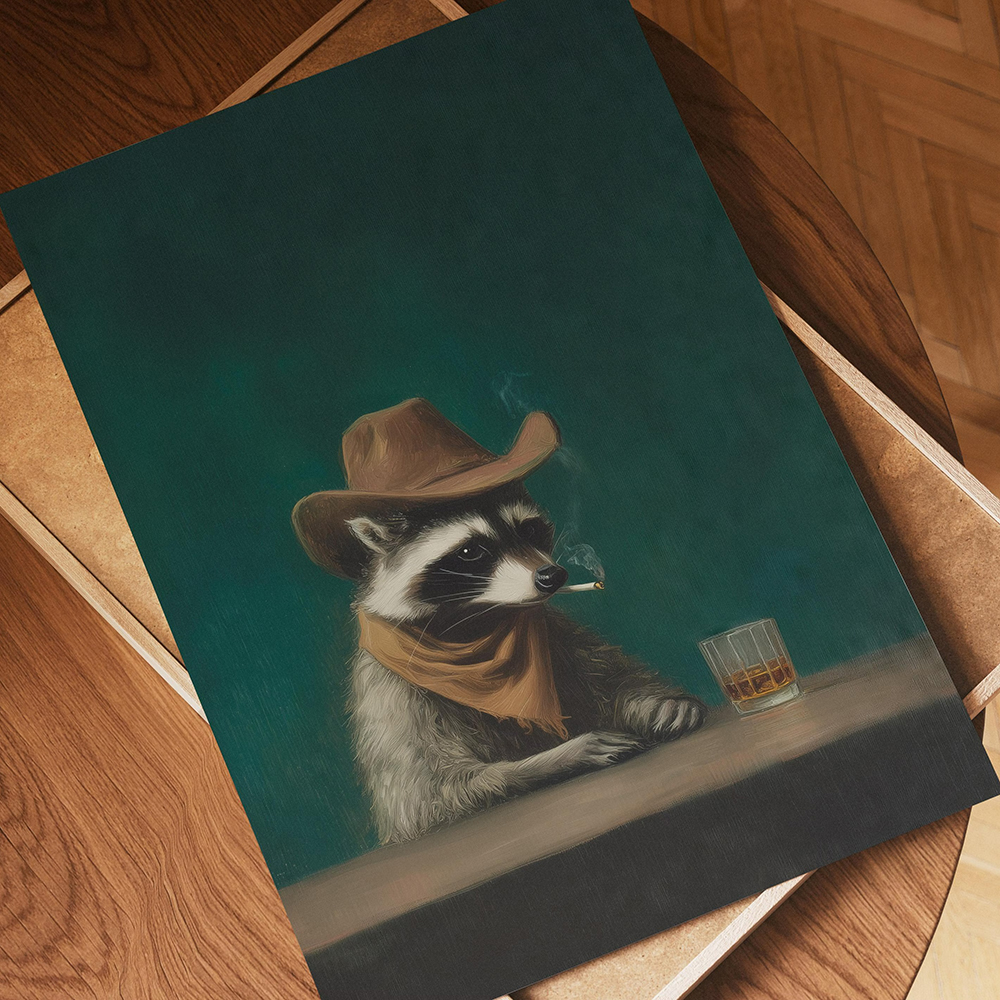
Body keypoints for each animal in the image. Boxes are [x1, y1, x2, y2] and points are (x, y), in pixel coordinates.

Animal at [345, 481, 706, 844]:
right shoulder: (392, 694)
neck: (476, 631)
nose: (553, 576)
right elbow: (432, 798)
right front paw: (563, 756)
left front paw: (658, 702)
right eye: (470, 551)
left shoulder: (558, 634)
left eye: (529, 529)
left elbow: (607, 678)